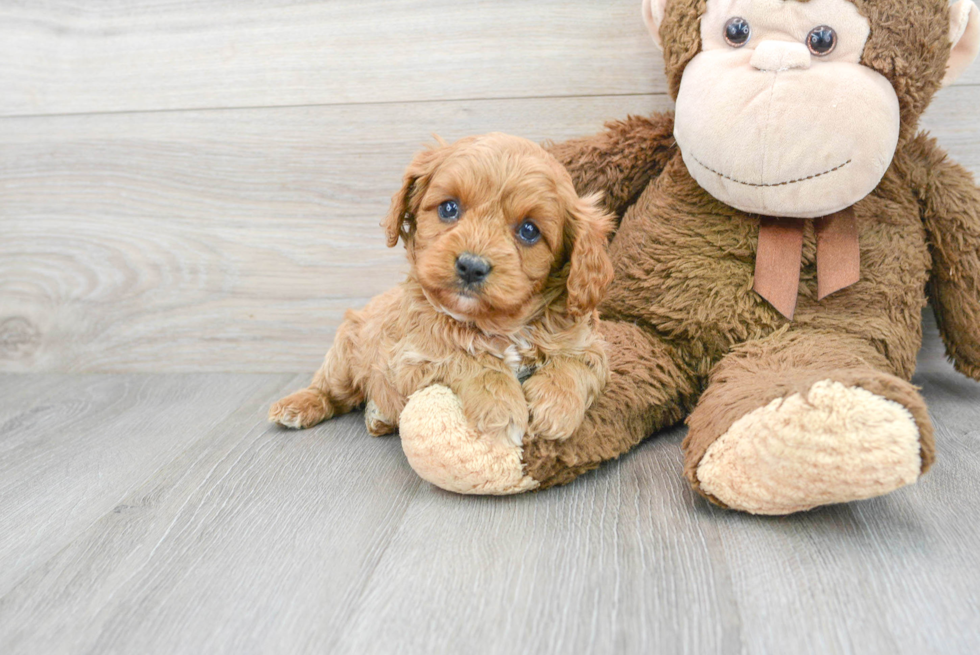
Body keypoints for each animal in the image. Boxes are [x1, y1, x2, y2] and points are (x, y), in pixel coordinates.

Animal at [268, 136, 612, 448]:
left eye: (529, 230)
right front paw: (501, 405)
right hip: (344, 354)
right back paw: (297, 405)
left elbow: (576, 364)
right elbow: (470, 360)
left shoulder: (591, 344)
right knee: (331, 390)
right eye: (449, 208)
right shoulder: (413, 356)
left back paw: (378, 417)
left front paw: (557, 406)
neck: (499, 326)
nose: (471, 266)